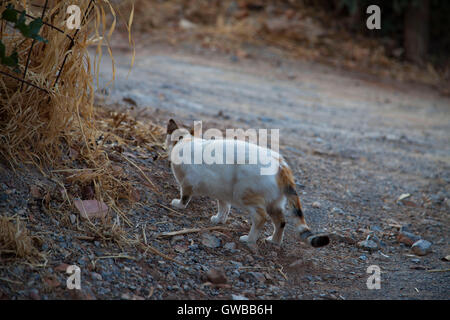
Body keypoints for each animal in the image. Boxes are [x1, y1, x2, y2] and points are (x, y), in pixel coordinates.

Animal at [165, 120, 326, 248]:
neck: (186, 142)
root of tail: (280, 163)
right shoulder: (221, 191)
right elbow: (224, 207)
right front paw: (219, 219)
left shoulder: (187, 183)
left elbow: (185, 197)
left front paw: (178, 205)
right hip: (274, 203)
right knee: (281, 221)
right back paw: (274, 241)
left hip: (245, 194)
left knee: (261, 218)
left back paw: (249, 240)